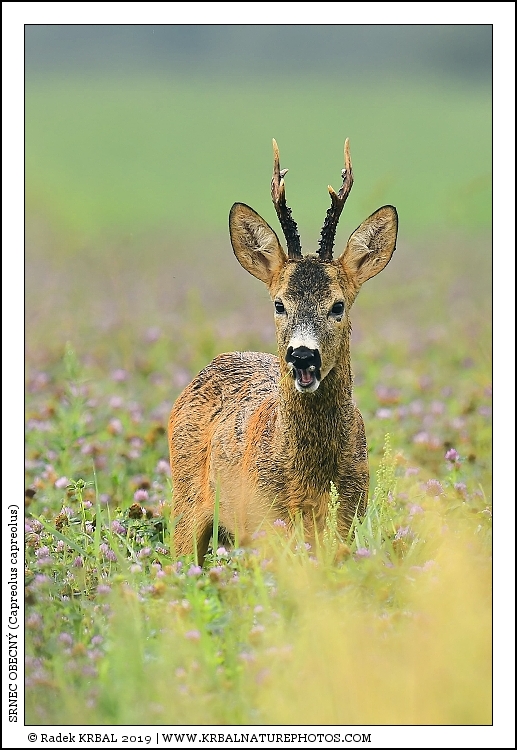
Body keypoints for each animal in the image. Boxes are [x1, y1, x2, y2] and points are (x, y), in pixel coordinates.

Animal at [168, 139, 398, 560]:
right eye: (279, 304)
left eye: (338, 305)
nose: (302, 355)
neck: (310, 479)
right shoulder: (263, 520)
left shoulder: (349, 517)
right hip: (185, 500)